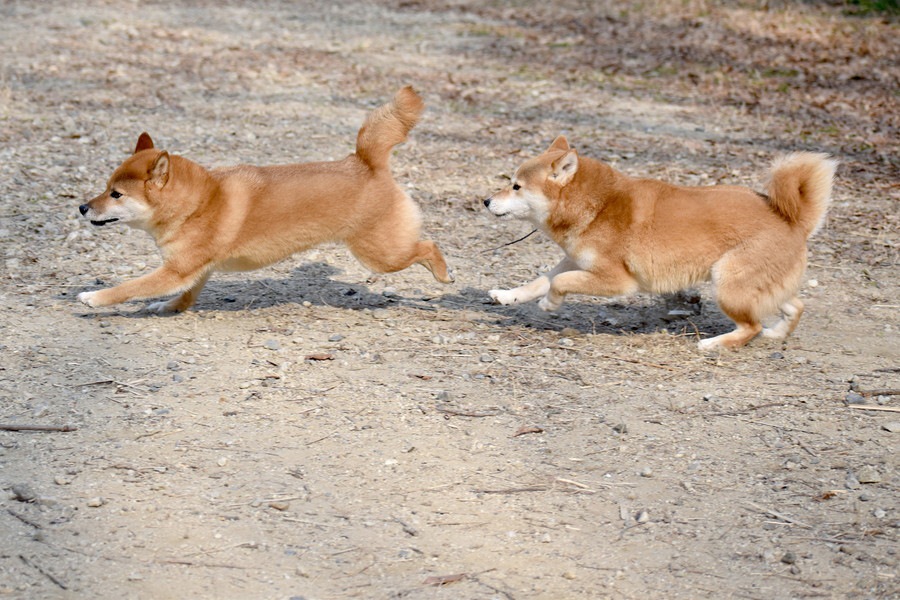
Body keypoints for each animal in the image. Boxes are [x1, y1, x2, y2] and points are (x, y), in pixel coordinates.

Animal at [77, 89, 454, 316]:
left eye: (116, 194)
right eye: (105, 187)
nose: (82, 207)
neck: (201, 202)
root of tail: (365, 163)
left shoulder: (175, 270)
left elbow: (129, 287)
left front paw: (94, 298)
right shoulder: (195, 269)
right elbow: (186, 294)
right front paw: (171, 307)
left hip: (379, 255)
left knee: (428, 246)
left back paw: (443, 274)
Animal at [486, 136, 836, 352]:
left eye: (516, 186)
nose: (486, 200)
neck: (597, 207)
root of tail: (794, 221)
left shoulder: (617, 280)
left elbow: (558, 283)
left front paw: (549, 305)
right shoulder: (574, 262)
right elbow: (538, 281)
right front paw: (507, 295)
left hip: (728, 283)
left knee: (751, 326)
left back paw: (715, 344)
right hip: (758, 286)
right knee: (794, 307)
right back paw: (775, 333)